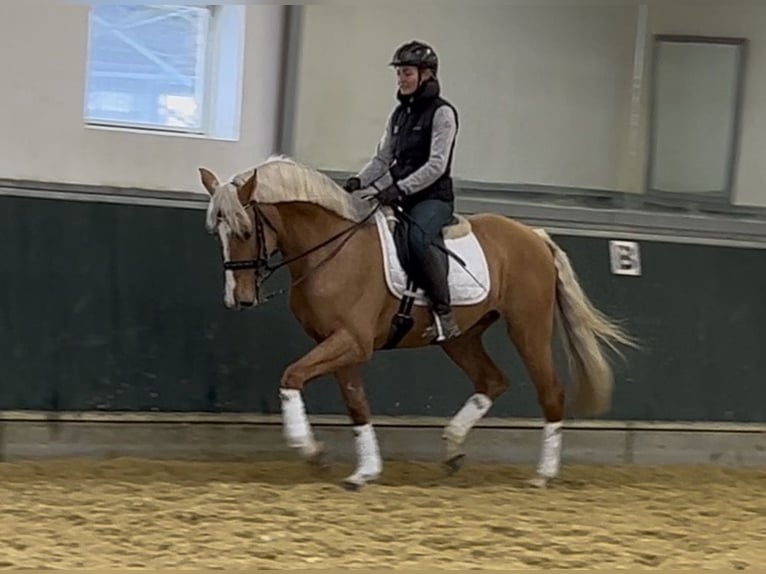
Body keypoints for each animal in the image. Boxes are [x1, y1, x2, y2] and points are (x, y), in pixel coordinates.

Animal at [197, 155, 637, 491]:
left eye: (245, 230)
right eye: (217, 232)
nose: (239, 299)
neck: (332, 250)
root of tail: (534, 236)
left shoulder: (351, 341)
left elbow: (291, 376)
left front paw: (310, 450)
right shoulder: (340, 344)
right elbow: (356, 403)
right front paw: (363, 470)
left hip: (527, 328)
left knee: (551, 392)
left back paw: (542, 474)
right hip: (461, 337)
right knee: (492, 381)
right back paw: (454, 448)